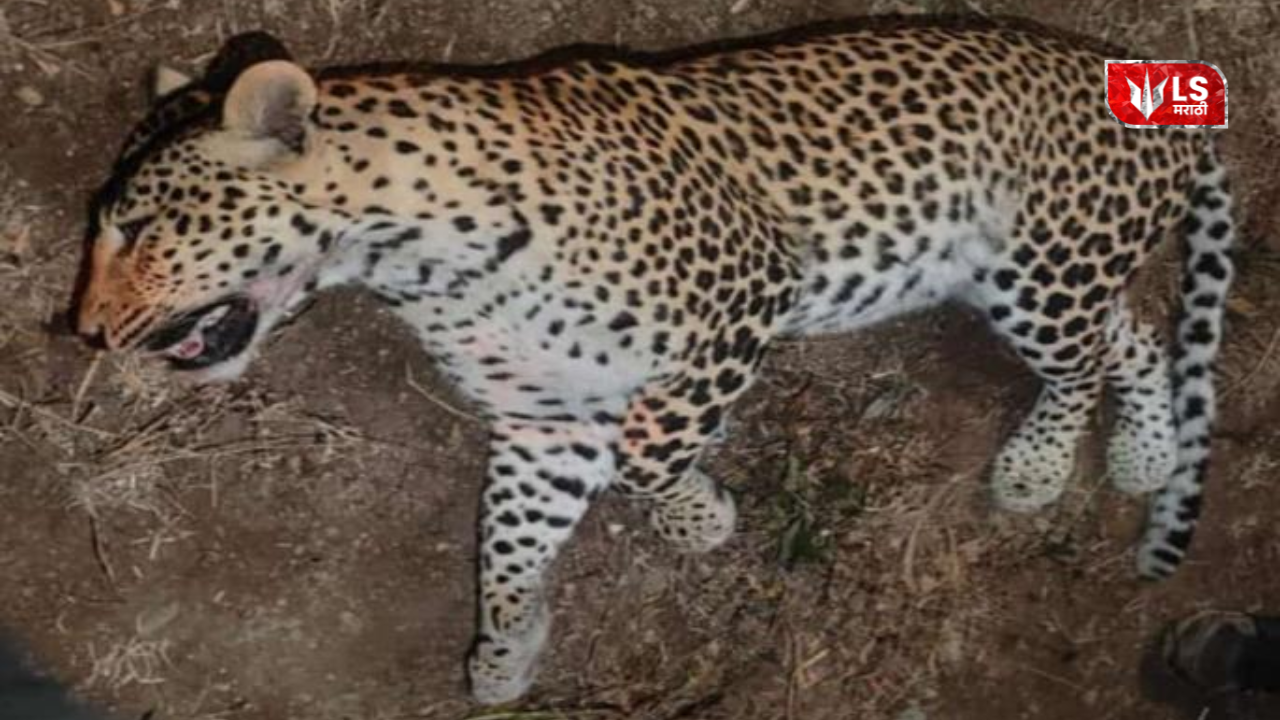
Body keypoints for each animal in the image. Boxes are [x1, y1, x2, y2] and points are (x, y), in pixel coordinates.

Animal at [75, 18, 1235, 704]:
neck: (409, 259)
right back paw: (1143, 455)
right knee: (1131, 331)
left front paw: (696, 513)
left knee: (1084, 360)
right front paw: (509, 648)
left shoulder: (741, 293)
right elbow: (508, 545)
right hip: (1041, 275)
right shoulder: (543, 420)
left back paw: (1042, 466)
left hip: (1037, 263)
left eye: (138, 226)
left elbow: (649, 448)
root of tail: (1151, 96)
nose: (82, 332)